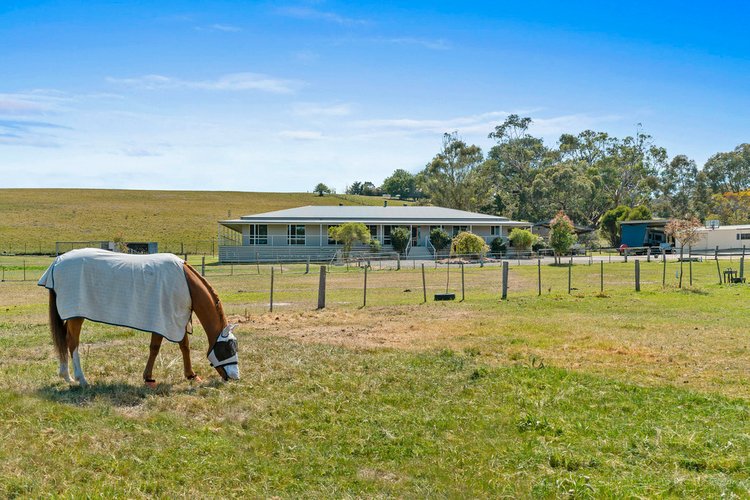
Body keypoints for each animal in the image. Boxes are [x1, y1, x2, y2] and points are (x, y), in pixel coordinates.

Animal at [38, 250, 239, 386]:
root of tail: (57, 262)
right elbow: (167, 347)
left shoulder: (170, 319)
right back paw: (82, 379)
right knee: (72, 342)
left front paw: (182, 375)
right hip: (77, 316)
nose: (235, 377)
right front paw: (183, 375)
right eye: (227, 349)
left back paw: (67, 376)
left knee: (65, 340)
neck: (187, 284)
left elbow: (172, 347)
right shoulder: (167, 318)